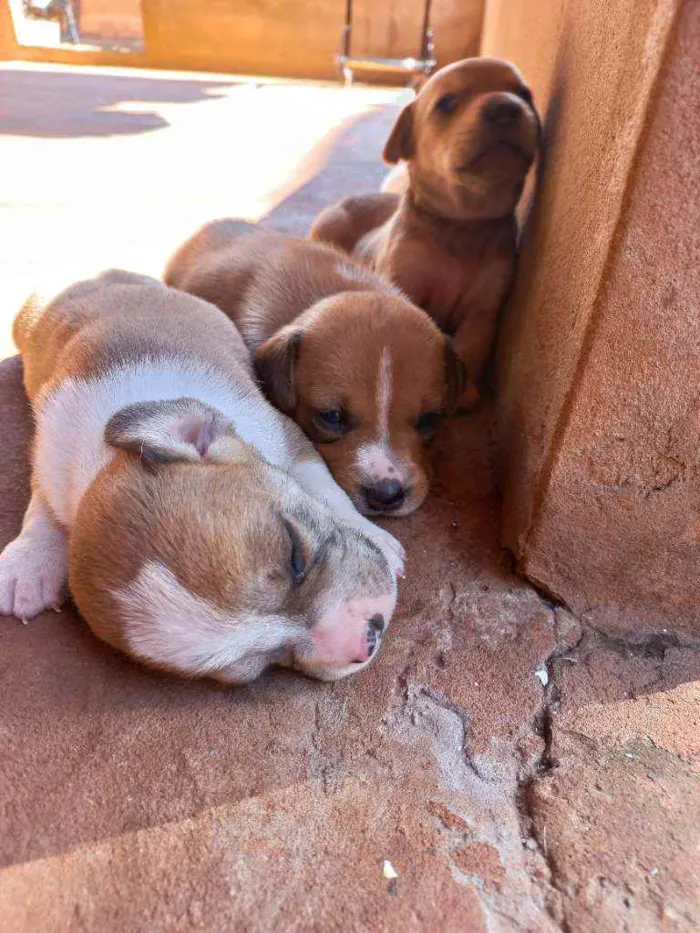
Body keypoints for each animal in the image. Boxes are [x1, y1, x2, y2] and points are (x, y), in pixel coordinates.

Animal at [0, 270, 404, 684]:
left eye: (295, 554)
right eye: (257, 668)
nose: (370, 637)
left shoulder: (289, 436)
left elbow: (326, 490)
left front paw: (374, 535)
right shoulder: (48, 457)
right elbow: (42, 505)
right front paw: (30, 560)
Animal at [310, 58, 540, 408]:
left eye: (524, 94)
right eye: (447, 103)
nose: (505, 107)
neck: (462, 225)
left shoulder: (484, 309)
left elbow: (470, 346)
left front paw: (463, 391)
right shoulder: (405, 283)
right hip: (325, 227)